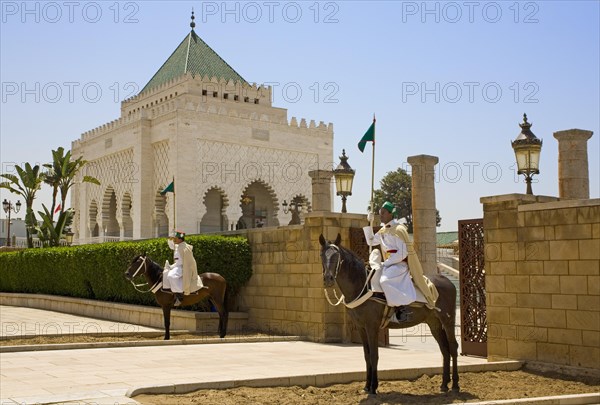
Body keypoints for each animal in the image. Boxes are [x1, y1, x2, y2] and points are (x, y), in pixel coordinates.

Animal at [318, 234, 460, 394]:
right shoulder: (361, 328)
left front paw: (373, 387)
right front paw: (366, 386)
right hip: (434, 323)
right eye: (322, 255)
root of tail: (447, 281)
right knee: (444, 349)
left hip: (447, 320)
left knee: (453, 347)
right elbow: (366, 355)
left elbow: (374, 355)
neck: (362, 285)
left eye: (337, 256)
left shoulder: (372, 327)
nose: (328, 279)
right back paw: (444, 384)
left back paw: (455, 385)